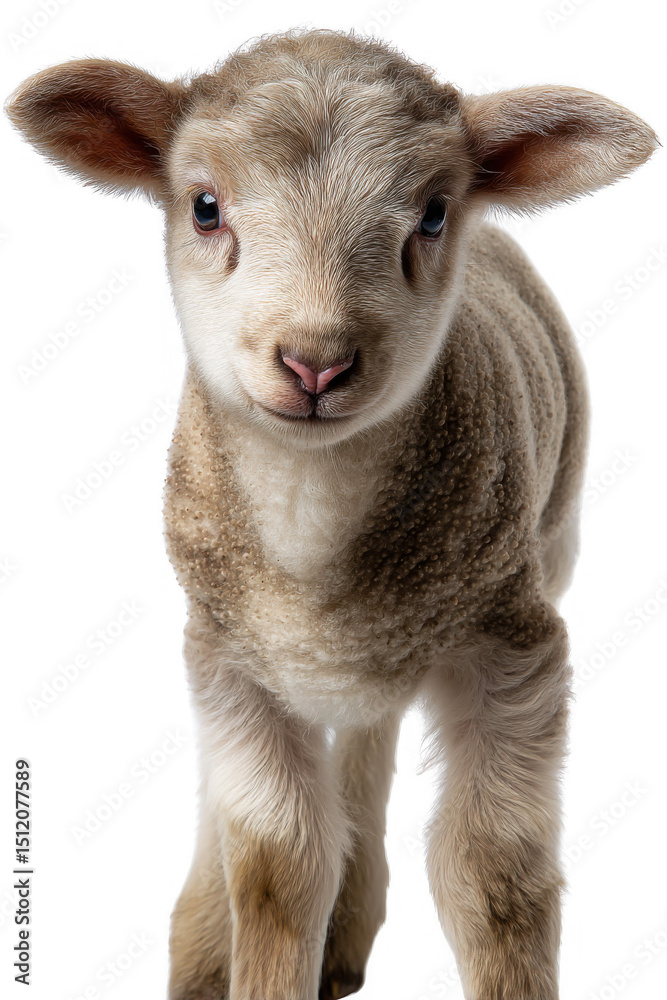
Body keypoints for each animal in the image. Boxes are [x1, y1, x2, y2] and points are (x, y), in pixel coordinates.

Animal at [6, 28, 657, 1000]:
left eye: (433, 214)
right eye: (204, 207)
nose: (315, 362)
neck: (311, 534)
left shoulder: (514, 649)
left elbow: (491, 875)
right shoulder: (229, 661)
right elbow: (275, 869)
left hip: (547, 541)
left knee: (369, 735)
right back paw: (208, 944)